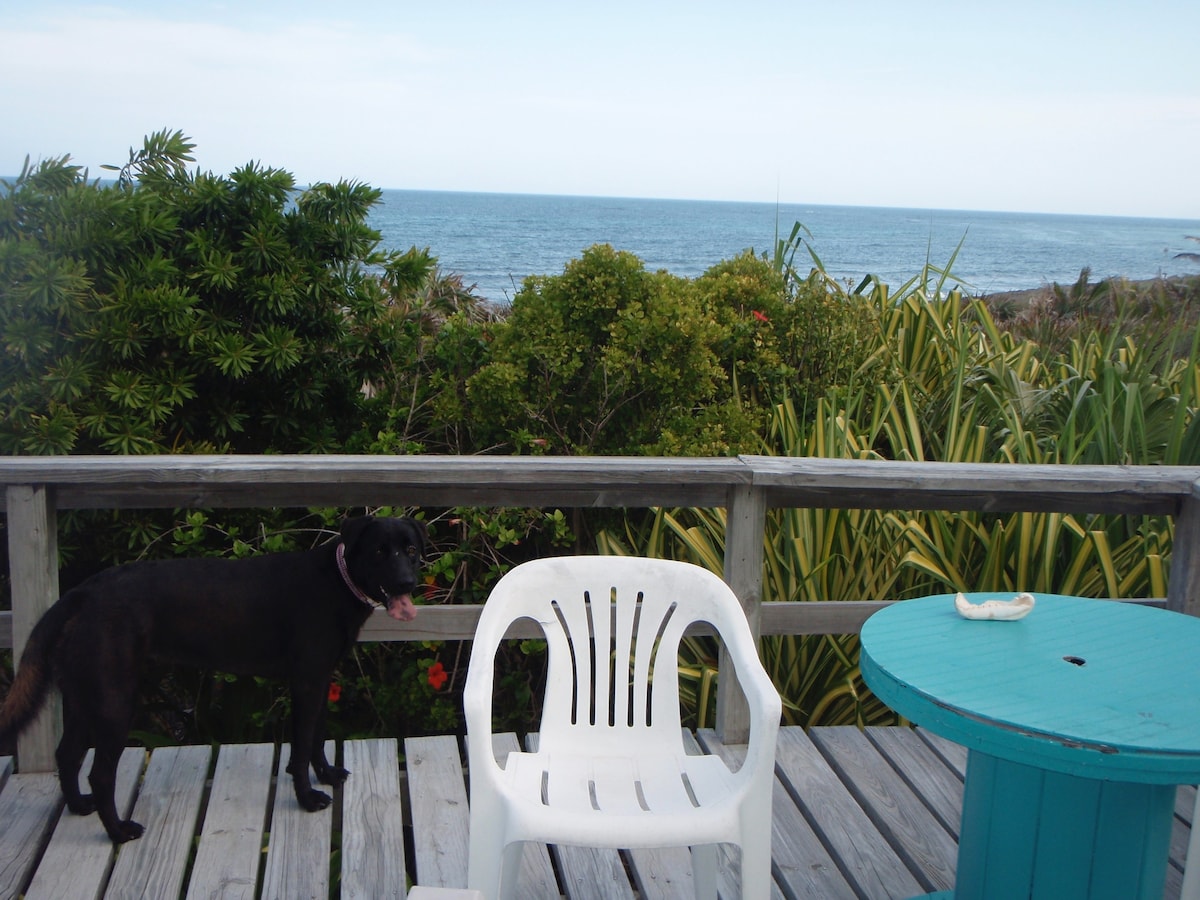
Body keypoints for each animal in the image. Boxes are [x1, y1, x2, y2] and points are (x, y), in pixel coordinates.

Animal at [0, 518, 429, 844]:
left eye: (410, 550)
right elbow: (301, 746)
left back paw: (78, 806)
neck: (336, 581)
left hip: (82, 697)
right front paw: (307, 797)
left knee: (67, 754)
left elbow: (317, 737)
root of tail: (79, 594)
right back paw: (118, 831)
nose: (406, 583)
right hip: (114, 702)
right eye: (379, 551)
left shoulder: (320, 679)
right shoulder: (306, 681)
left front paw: (326, 774)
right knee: (100, 773)